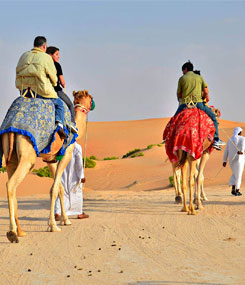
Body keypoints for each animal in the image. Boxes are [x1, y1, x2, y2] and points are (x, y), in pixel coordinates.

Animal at [1, 90, 93, 241]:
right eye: (90, 99)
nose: (92, 104)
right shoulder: (67, 154)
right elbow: (54, 189)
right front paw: (53, 225)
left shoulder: (50, 160)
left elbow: (60, 188)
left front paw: (65, 220)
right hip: (27, 156)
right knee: (11, 184)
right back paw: (12, 232)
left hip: (10, 155)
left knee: (12, 186)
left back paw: (20, 231)